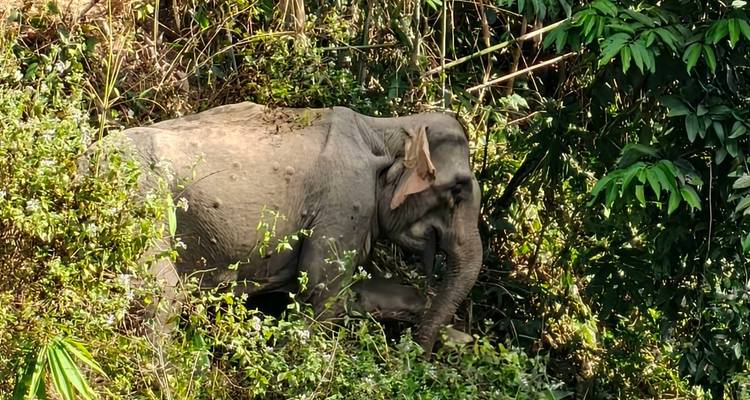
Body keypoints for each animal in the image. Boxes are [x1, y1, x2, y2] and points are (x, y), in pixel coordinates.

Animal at [114, 101, 483, 353]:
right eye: (457, 190)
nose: (420, 354)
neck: (385, 128)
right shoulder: (345, 201)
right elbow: (324, 292)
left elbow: (359, 293)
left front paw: (461, 338)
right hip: (144, 208)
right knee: (161, 297)